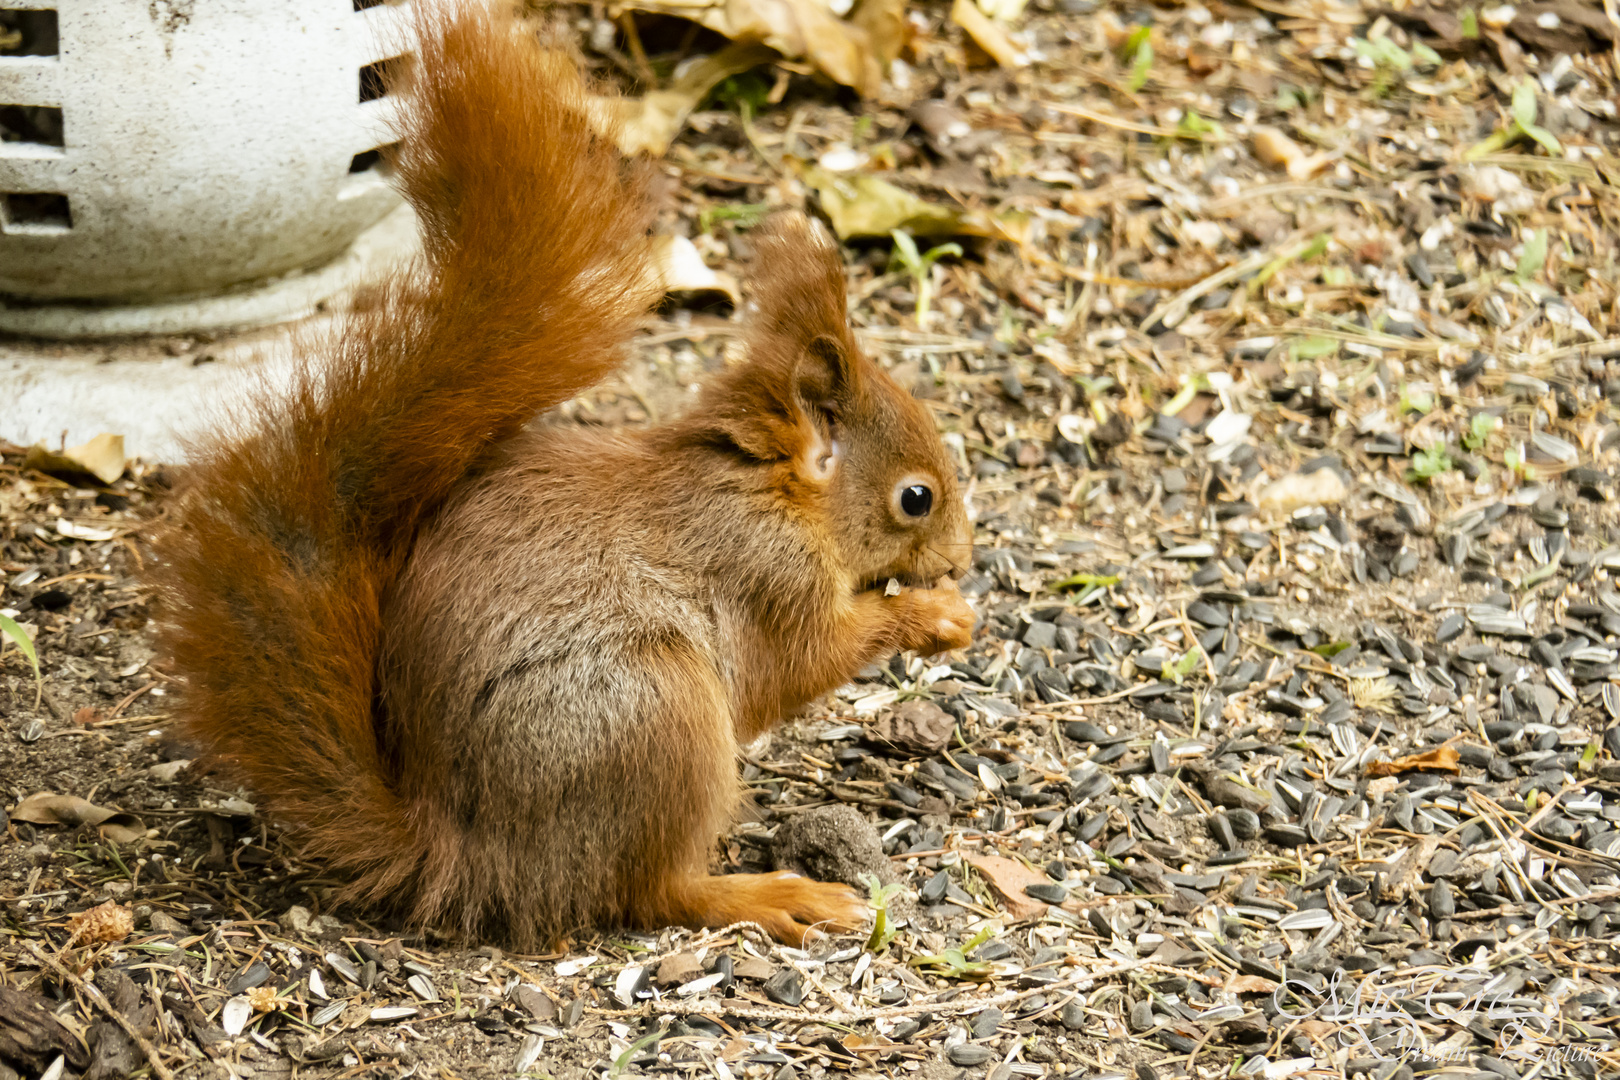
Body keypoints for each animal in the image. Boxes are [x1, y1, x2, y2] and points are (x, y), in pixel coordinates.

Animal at [152, 2, 965, 945]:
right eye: (916, 498)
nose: (961, 558)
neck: (777, 492)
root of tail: (468, 852)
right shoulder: (765, 574)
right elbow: (799, 664)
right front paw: (933, 616)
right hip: (654, 713)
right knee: (652, 891)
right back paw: (769, 894)